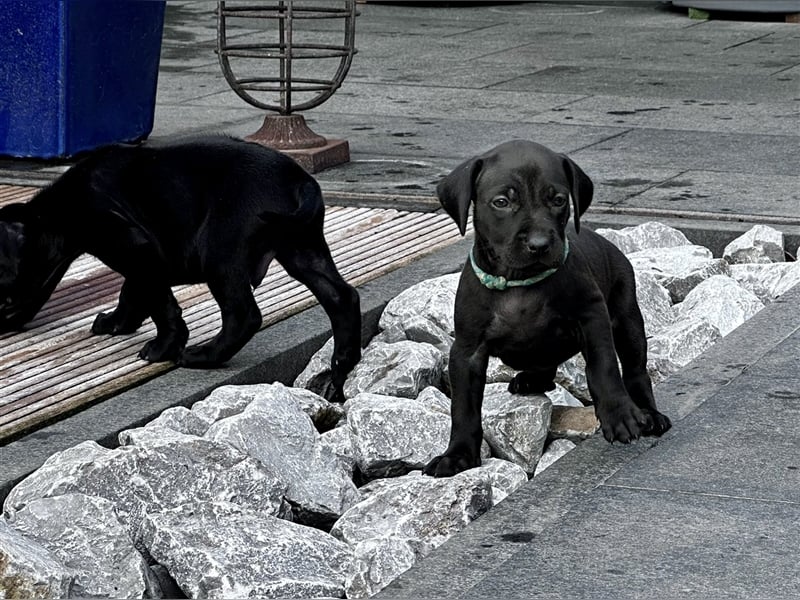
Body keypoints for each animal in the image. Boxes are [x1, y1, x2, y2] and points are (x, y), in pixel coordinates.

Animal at [0, 136, 360, 404]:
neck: (58, 213)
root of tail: (299, 181)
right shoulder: (142, 260)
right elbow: (133, 292)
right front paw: (118, 322)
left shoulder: (136, 249)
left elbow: (159, 303)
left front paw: (163, 348)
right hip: (304, 250)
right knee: (342, 298)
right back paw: (341, 367)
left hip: (220, 252)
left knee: (243, 315)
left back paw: (204, 355)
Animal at [422, 138, 672, 476]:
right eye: (501, 202)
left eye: (558, 200)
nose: (539, 244)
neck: (521, 284)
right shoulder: (466, 350)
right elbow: (463, 406)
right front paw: (457, 455)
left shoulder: (593, 317)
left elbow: (604, 368)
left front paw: (620, 415)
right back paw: (531, 378)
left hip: (627, 318)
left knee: (635, 370)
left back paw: (650, 413)